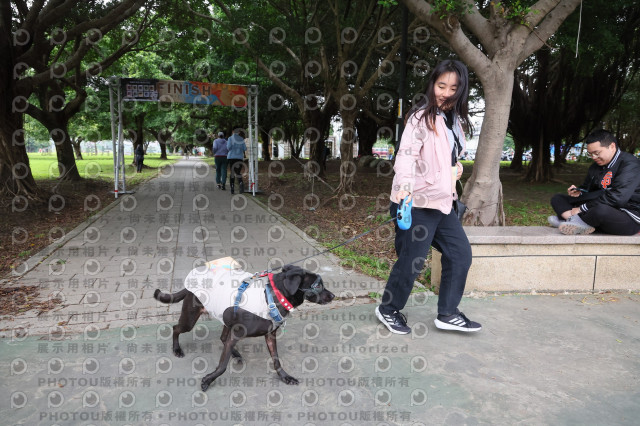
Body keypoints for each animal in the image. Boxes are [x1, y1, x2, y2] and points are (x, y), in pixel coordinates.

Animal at [153, 257, 334, 391]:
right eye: (318, 285)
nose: (333, 296)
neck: (273, 296)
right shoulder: (236, 333)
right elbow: (222, 366)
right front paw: (208, 380)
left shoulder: (270, 335)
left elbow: (276, 360)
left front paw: (285, 377)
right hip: (190, 319)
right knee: (176, 328)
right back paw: (177, 349)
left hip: (225, 317)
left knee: (222, 338)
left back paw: (235, 353)